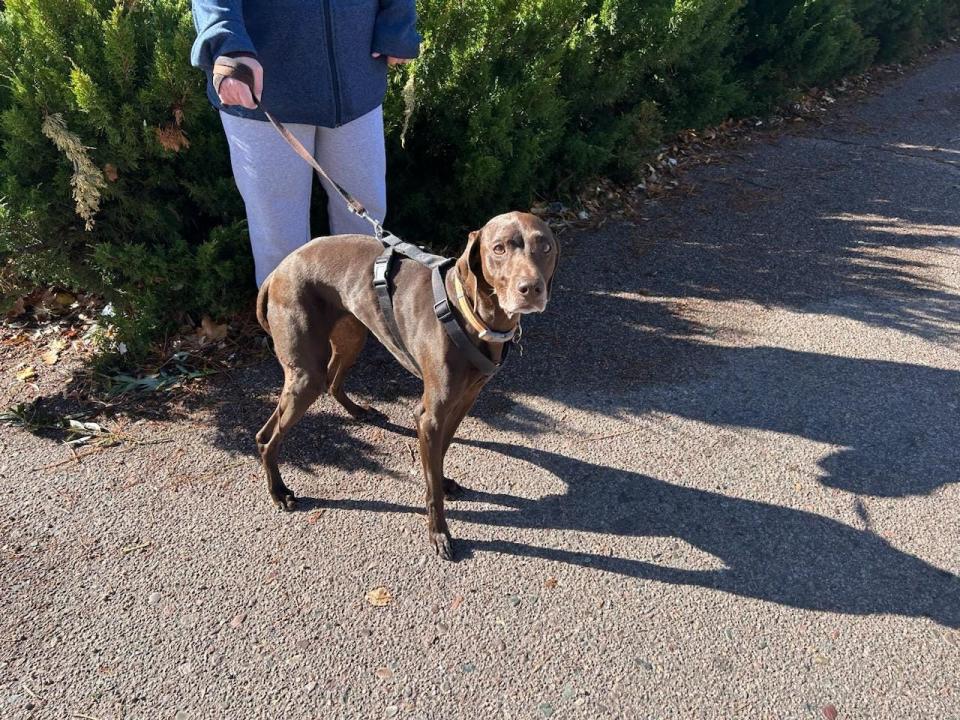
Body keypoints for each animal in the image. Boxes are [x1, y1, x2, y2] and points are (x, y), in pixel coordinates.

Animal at [255, 211, 560, 560]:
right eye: (499, 248)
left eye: (545, 247)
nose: (531, 288)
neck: (472, 316)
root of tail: (278, 270)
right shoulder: (430, 415)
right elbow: (432, 485)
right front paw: (439, 533)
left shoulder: (463, 402)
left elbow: (439, 456)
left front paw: (442, 480)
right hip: (306, 374)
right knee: (269, 438)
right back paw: (279, 491)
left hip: (351, 334)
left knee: (329, 383)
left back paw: (359, 412)